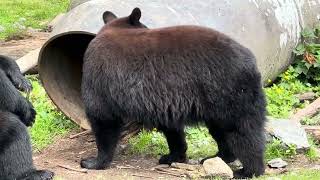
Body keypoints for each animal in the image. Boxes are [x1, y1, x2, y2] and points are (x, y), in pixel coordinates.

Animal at [81, 7, 266, 178]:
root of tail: (251, 61)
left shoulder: (100, 80)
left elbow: (103, 118)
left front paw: (92, 162)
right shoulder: (165, 99)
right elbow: (172, 128)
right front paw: (172, 156)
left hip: (227, 90)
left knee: (241, 131)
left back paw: (248, 170)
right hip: (217, 99)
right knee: (221, 130)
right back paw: (217, 157)